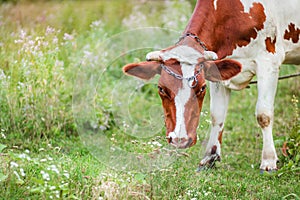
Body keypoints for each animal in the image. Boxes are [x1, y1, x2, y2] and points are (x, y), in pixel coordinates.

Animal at [122, 0, 300, 172]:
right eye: (161, 89)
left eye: (201, 88)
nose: (180, 140)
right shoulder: (218, 73)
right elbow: (217, 115)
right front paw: (210, 157)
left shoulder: (269, 62)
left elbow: (263, 115)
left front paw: (268, 161)